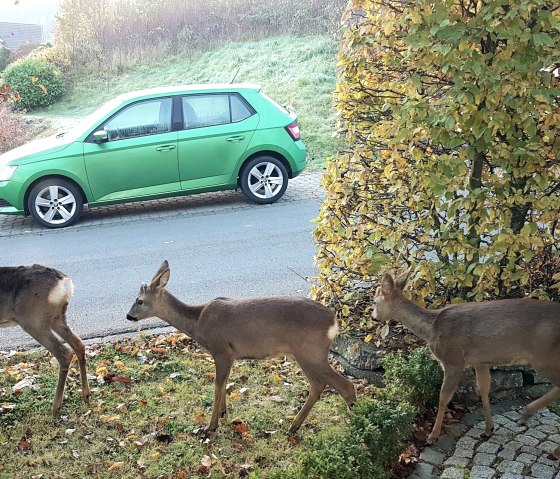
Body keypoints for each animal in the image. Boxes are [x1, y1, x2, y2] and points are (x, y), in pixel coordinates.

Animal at [0, 266, 89, 412]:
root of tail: (64, 282)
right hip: (56, 317)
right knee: (78, 344)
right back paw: (85, 395)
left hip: (34, 321)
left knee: (65, 353)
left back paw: (55, 406)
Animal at [126, 260, 354, 434]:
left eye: (139, 301)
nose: (128, 316)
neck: (198, 321)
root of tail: (333, 320)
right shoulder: (231, 354)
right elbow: (225, 383)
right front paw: (223, 413)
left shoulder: (221, 350)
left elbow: (217, 386)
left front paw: (211, 425)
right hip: (305, 354)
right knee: (318, 386)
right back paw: (294, 426)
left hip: (310, 352)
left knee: (344, 385)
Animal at [374, 270, 560, 462]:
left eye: (374, 301)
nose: (374, 317)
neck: (431, 329)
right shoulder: (480, 361)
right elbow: (483, 390)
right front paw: (488, 430)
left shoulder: (453, 360)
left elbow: (443, 397)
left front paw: (432, 436)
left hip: (543, 355)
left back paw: (537, 426)